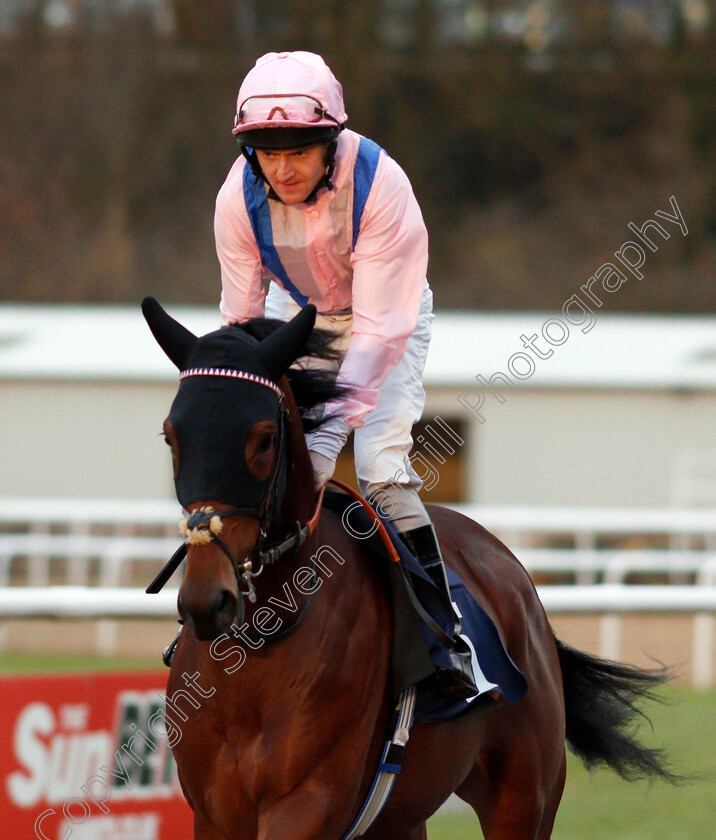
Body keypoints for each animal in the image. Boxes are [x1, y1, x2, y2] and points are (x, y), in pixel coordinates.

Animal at [143, 298, 676, 840]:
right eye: (170, 437)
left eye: (266, 439)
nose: (207, 600)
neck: (259, 649)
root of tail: (512, 573)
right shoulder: (214, 813)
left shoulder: (307, 803)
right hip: (402, 814)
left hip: (525, 797)